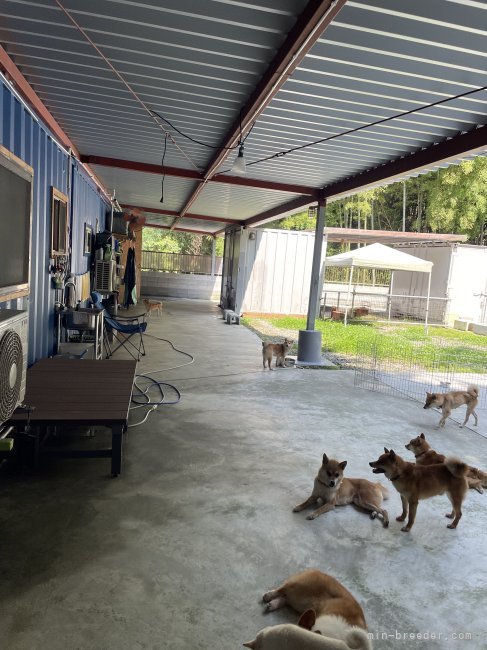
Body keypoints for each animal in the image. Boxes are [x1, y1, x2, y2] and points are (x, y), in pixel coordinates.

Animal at [242, 568, 372, 648]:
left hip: (298, 602)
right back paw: (269, 595)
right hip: (298, 586)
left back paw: (273, 604)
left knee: (285, 598)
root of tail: (317, 570)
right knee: (282, 589)